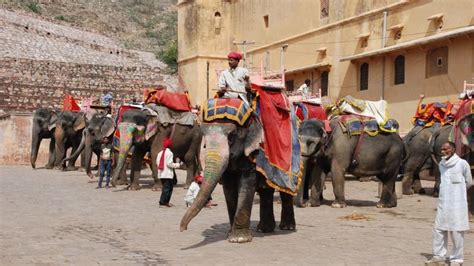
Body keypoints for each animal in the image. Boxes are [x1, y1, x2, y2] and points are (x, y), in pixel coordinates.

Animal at [180, 88, 302, 242]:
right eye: (203, 133)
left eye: (232, 135)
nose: (182, 229)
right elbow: (229, 187)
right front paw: (230, 235)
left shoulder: (252, 151)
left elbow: (246, 183)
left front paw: (239, 239)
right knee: (266, 190)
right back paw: (264, 229)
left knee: (285, 191)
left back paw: (287, 227)